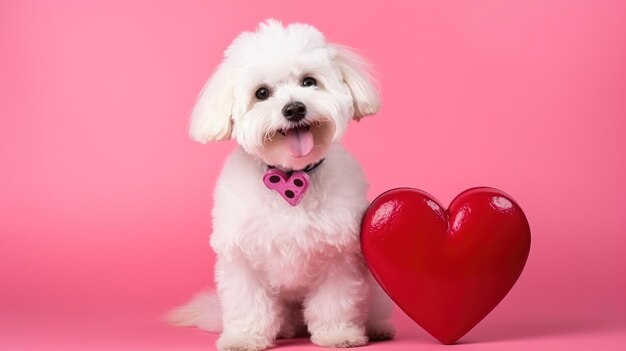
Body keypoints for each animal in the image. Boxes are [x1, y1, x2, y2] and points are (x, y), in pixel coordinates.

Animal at [169, 20, 394, 351]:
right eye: (261, 93)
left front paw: (338, 334)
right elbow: (248, 303)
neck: (289, 178)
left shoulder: (338, 256)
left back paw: (378, 328)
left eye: (309, 82)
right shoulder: (242, 257)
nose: (294, 109)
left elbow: (334, 301)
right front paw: (243, 337)